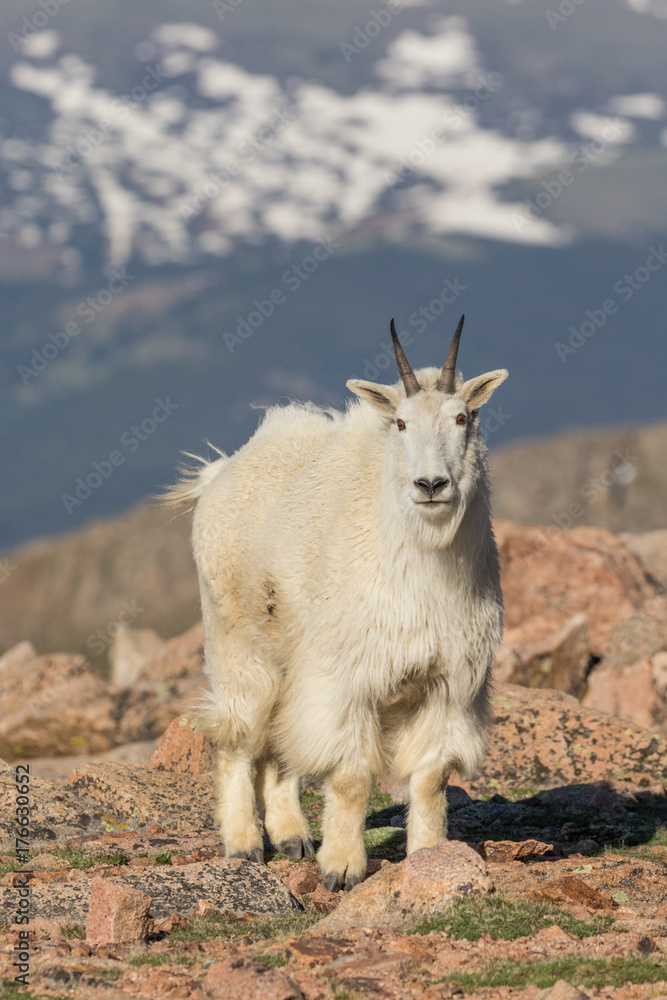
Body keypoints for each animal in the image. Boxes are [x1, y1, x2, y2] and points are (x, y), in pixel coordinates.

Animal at [165, 316, 507, 890]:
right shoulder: (348, 677)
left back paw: (292, 837)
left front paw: (431, 857)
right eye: (400, 424)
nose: (431, 484)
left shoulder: (448, 682)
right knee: (239, 736)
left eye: (463, 417)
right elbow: (349, 777)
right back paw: (244, 844)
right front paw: (343, 868)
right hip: (238, 643)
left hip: (293, 655)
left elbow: (431, 777)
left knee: (280, 742)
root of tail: (219, 472)